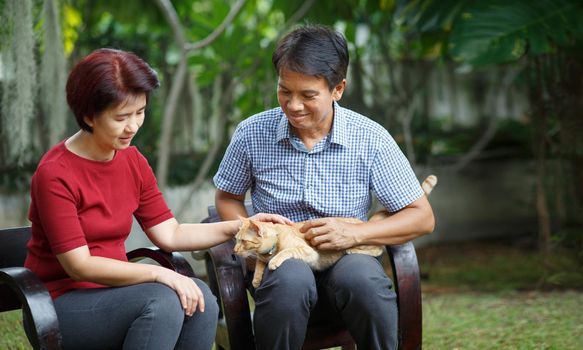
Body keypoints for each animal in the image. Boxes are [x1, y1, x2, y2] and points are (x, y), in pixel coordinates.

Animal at [235, 174, 436, 288]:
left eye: (243, 241)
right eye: (236, 239)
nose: (235, 250)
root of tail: (364, 222)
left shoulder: (306, 251)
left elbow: (283, 253)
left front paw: (274, 261)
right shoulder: (261, 257)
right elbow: (259, 264)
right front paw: (257, 279)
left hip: (360, 245)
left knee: (377, 248)